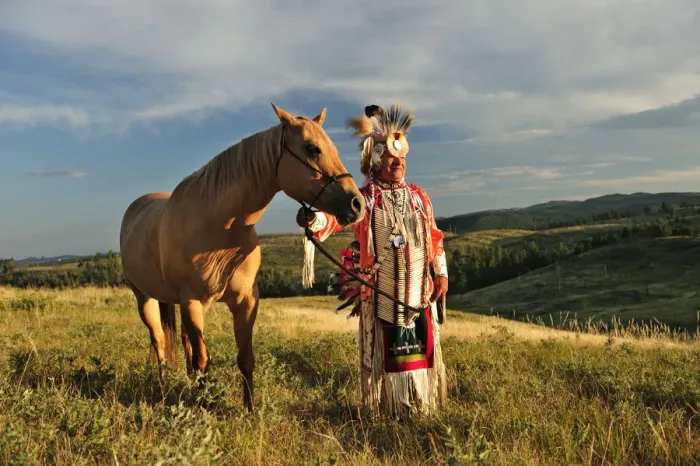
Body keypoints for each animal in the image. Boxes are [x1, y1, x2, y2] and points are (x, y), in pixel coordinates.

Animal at [119, 103, 365, 411]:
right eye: (312, 149)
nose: (357, 204)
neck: (219, 227)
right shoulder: (192, 301)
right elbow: (203, 359)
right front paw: (203, 403)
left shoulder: (245, 301)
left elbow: (244, 358)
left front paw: (249, 408)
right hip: (146, 299)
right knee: (160, 341)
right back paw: (164, 384)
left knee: (184, 341)